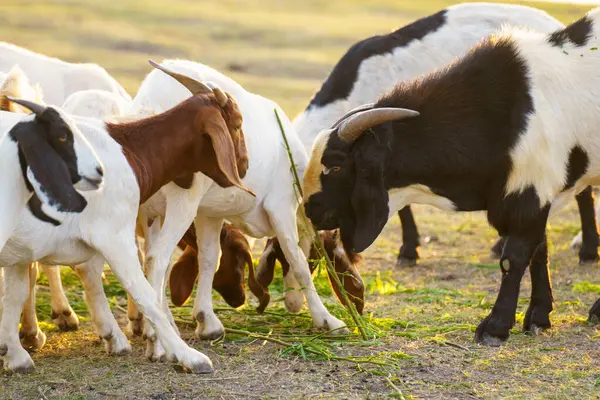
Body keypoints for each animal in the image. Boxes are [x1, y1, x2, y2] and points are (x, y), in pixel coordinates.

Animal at [0, 70, 250, 374]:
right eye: (237, 123)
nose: (245, 165)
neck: (128, 152)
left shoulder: (20, 251)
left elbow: (14, 294)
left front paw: (16, 355)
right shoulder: (114, 236)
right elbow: (144, 292)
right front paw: (187, 356)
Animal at [304, 7, 600, 346]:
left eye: (336, 165)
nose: (310, 209)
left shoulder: (529, 189)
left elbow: (514, 258)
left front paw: (495, 327)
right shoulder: (534, 192)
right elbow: (540, 251)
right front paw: (538, 316)